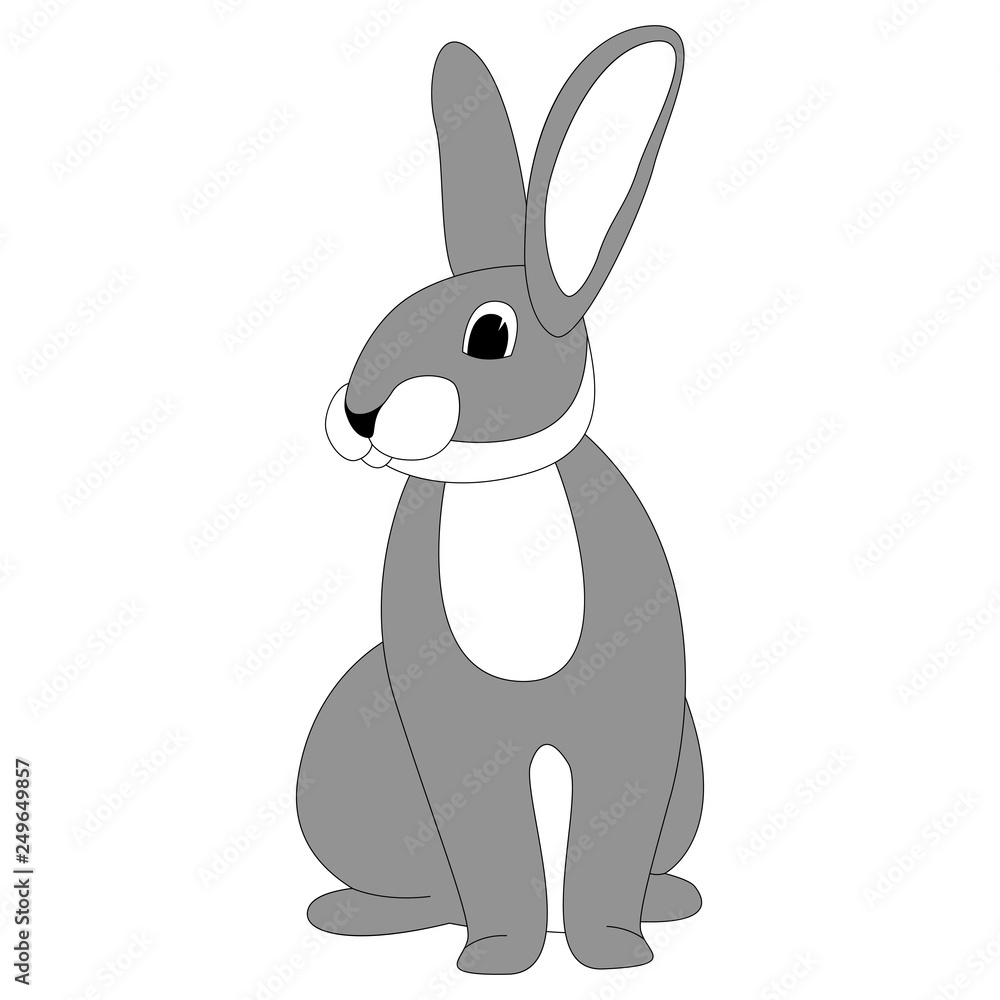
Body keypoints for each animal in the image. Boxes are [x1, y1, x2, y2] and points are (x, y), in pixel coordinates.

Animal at [297, 25, 703, 975]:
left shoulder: (627, 717)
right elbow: (489, 844)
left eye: (491, 336)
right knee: (430, 891)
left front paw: (614, 954)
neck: (502, 488)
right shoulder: (455, 732)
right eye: (393, 313)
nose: (360, 414)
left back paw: (667, 903)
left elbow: (609, 832)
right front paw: (495, 959)